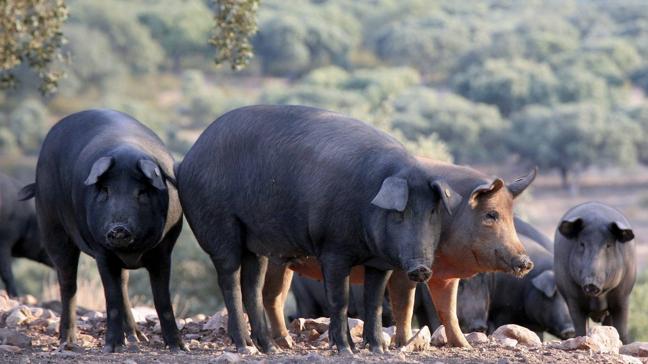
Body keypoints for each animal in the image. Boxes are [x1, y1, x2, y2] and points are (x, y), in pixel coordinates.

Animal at [20, 110, 182, 352]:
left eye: (142, 192)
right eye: (105, 190)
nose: (119, 229)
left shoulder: (164, 250)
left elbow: (162, 299)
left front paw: (179, 347)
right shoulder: (102, 252)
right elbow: (111, 297)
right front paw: (112, 348)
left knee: (123, 284)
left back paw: (137, 339)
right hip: (51, 225)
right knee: (68, 282)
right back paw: (68, 342)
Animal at [177, 104, 460, 354]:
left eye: (432, 212)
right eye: (401, 213)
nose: (421, 268)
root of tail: (188, 159)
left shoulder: (379, 262)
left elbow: (374, 303)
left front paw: (378, 350)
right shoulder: (333, 249)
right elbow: (339, 299)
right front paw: (346, 351)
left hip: (254, 243)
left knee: (252, 287)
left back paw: (269, 349)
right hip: (219, 228)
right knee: (229, 280)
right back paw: (245, 348)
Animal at [264, 161, 536, 350]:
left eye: (511, 217)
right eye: (491, 215)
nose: (526, 262)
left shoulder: (444, 277)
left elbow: (448, 310)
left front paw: (465, 347)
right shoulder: (404, 268)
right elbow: (406, 303)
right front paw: (403, 343)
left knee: (275, 297)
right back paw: (281, 343)